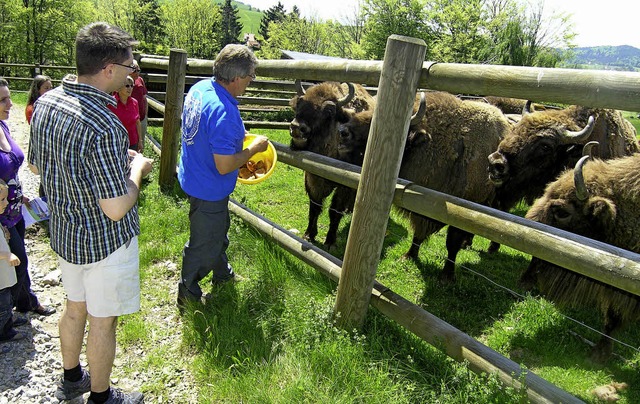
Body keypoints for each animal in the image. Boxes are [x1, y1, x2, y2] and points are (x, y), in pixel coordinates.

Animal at [288, 79, 376, 249]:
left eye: (328, 111)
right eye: (300, 103)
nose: (296, 127)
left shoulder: (344, 187)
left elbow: (334, 211)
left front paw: (330, 242)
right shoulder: (313, 179)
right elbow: (315, 207)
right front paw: (309, 235)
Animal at [340, 91, 510, 280]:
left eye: (373, 122)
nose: (343, 132)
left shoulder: (462, 211)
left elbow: (452, 243)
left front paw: (446, 276)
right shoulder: (422, 210)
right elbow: (418, 235)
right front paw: (408, 256)